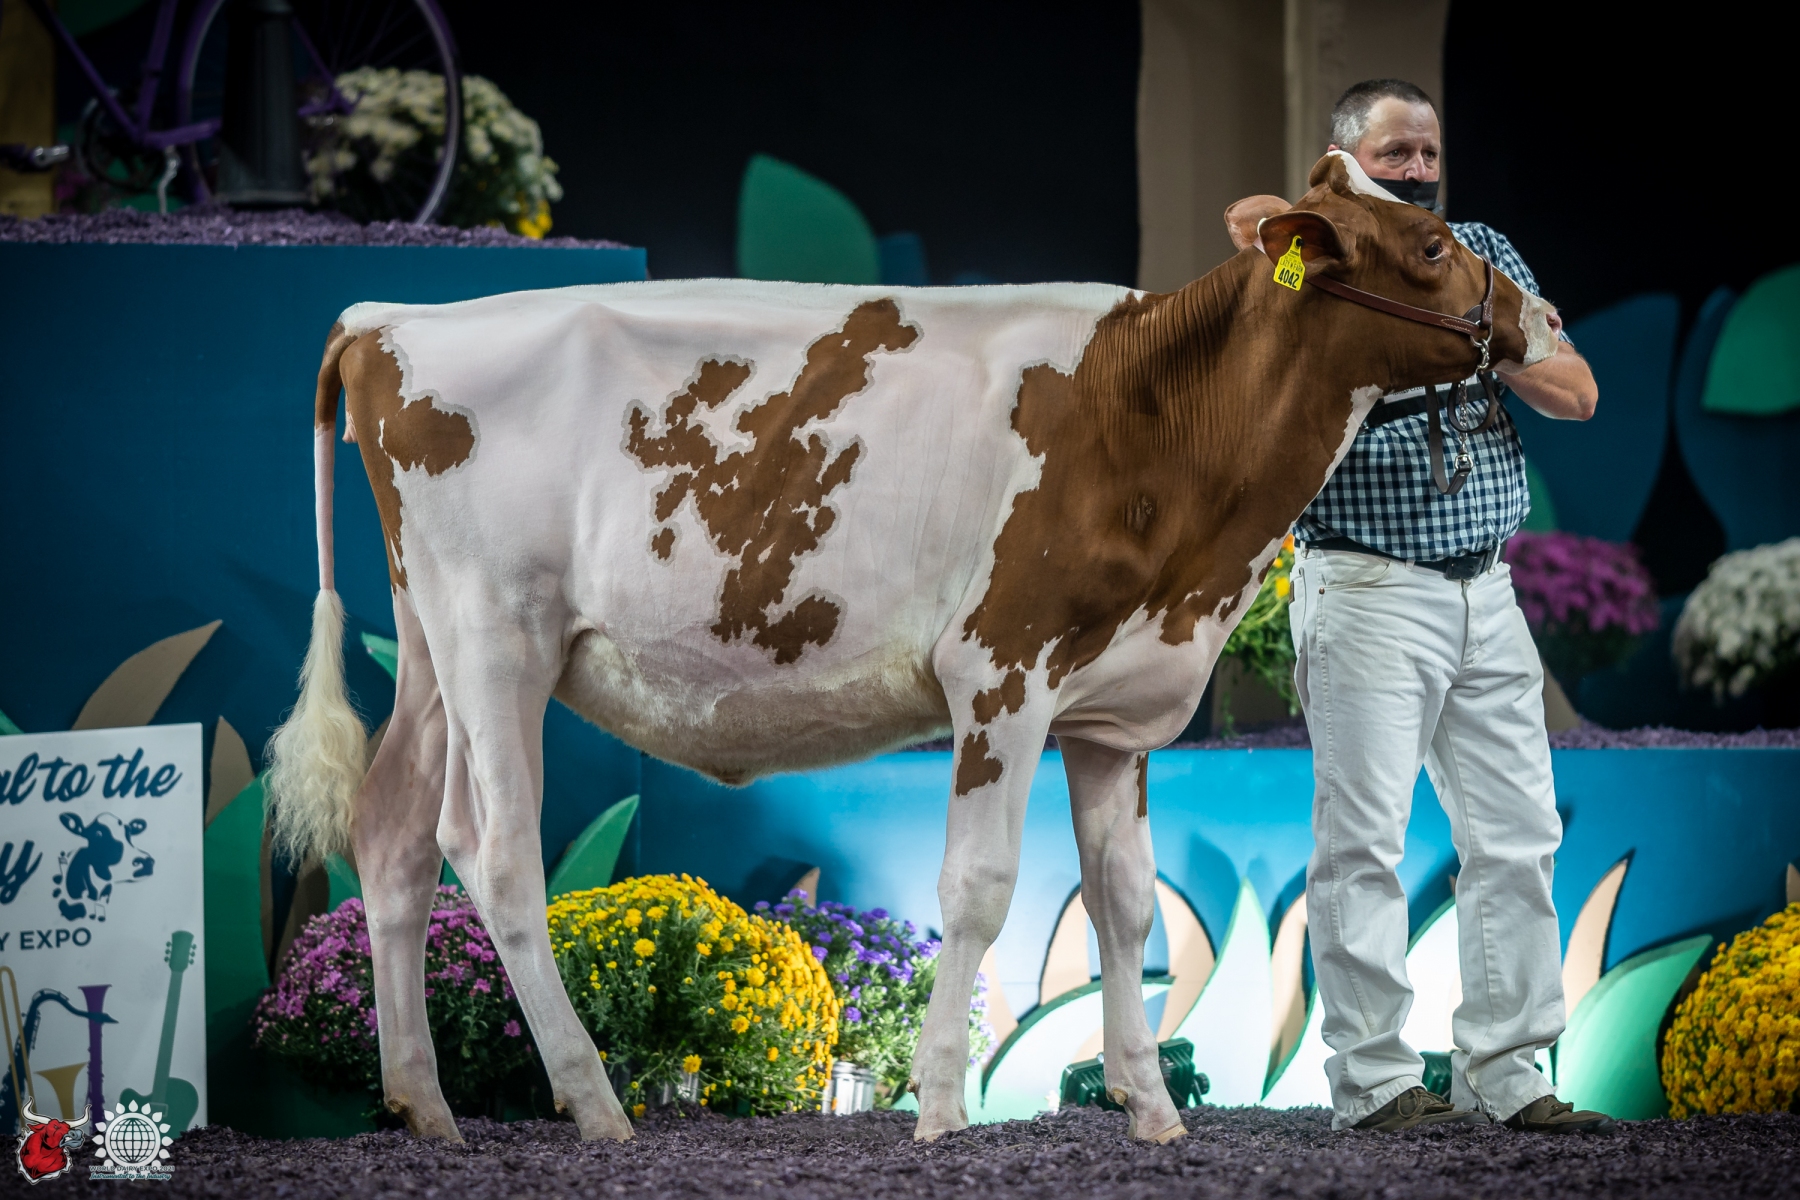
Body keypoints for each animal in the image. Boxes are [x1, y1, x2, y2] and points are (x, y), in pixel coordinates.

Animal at [266, 151, 1558, 1145]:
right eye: (1430, 243)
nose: (1543, 322)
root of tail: (389, 320)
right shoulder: (1002, 669)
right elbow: (979, 892)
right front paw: (941, 1111)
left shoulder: (1115, 708)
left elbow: (1125, 907)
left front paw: (1150, 1112)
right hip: (499, 635)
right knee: (495, 853)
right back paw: (593, 1105)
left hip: (430, 642)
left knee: (393, 834)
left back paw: (425, 1104)